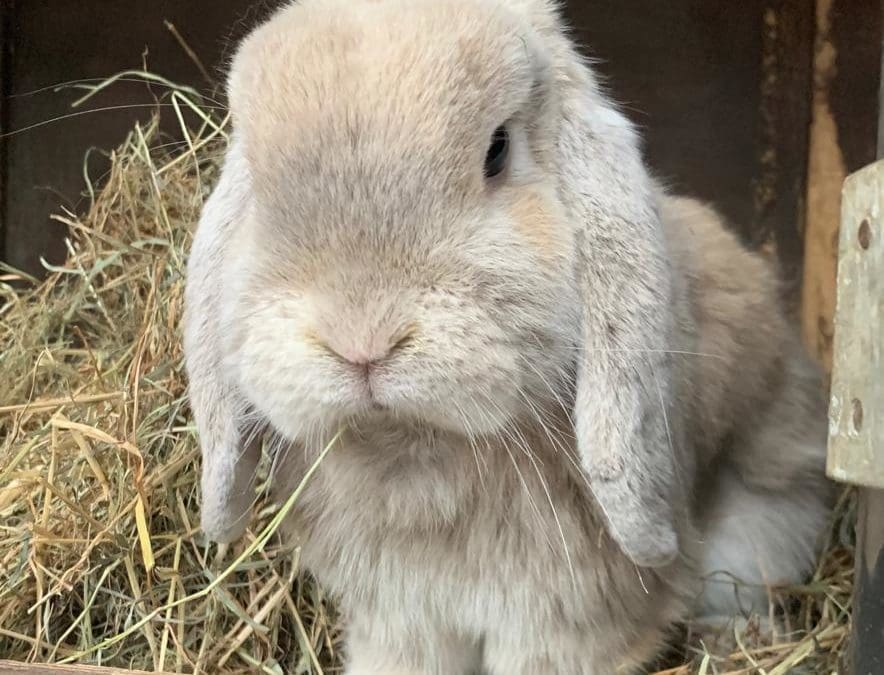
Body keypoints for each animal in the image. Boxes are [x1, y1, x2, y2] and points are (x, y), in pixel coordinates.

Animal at [182, 0, 835, 672]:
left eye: (498, 150)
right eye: (257, 180)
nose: (361, 340)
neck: (415, 450)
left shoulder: (568, 621)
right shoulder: (405, 617)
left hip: (765, 519)